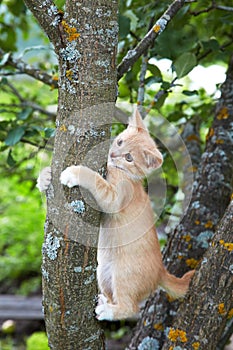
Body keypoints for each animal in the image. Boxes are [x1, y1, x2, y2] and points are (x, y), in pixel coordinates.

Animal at [38, 109, 194, 320]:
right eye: (120, 142)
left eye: (129, 158)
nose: (112, 154)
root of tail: (161, 270)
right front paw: (45, 177)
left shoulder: (115, 198)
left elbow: (96, 180)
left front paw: (75, 173)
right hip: (103, 271)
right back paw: (104, 301)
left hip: (123, 275)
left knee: (131, 308)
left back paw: (108, 311)